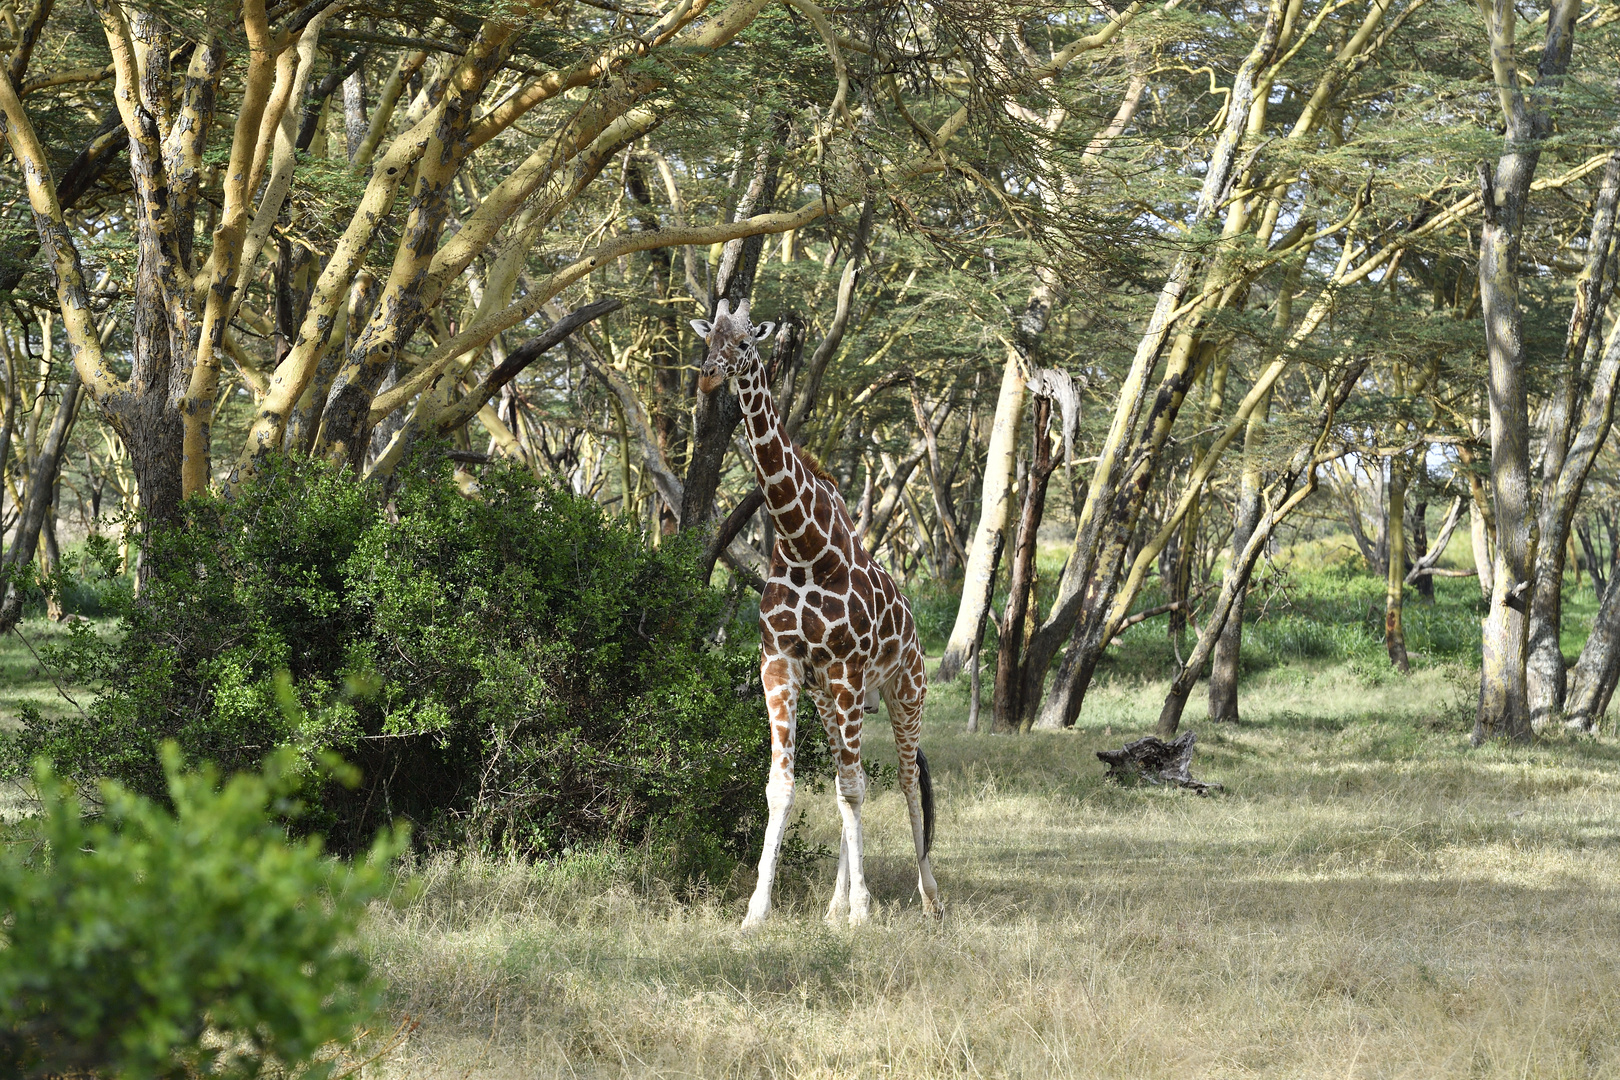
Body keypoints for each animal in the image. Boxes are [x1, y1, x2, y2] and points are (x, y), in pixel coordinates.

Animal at [690, 297, 946, 932]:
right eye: (710, 338)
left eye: (746, 344)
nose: (708, 376)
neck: (804, 545)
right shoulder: (780, 665)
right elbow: (784, 788)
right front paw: (757, 912)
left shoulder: (845, 670)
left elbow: (854, 791)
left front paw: (862, 912)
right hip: (834, 702)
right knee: (849, 779)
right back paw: (833, 904)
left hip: (905, 691)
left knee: (903, 778)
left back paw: (930, 899)